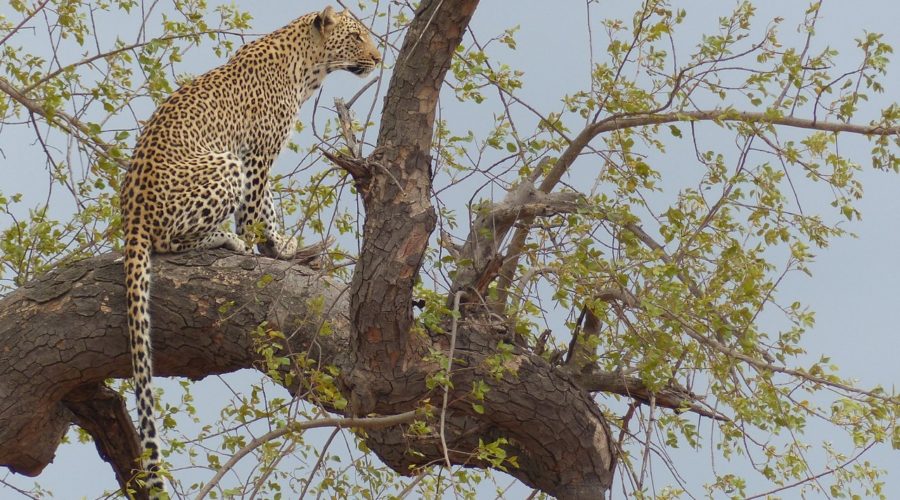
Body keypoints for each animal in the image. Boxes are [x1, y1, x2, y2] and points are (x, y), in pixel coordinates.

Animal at [118, 6, 380, 496]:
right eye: (356, 37)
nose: (378, 58)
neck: (308, 65)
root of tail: (132, 219)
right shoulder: (257, 152)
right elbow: (258, 208)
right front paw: (270, 247)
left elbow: (267, 204)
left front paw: (284, 244)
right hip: (224, 164)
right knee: (170, 242)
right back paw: (227, 239)